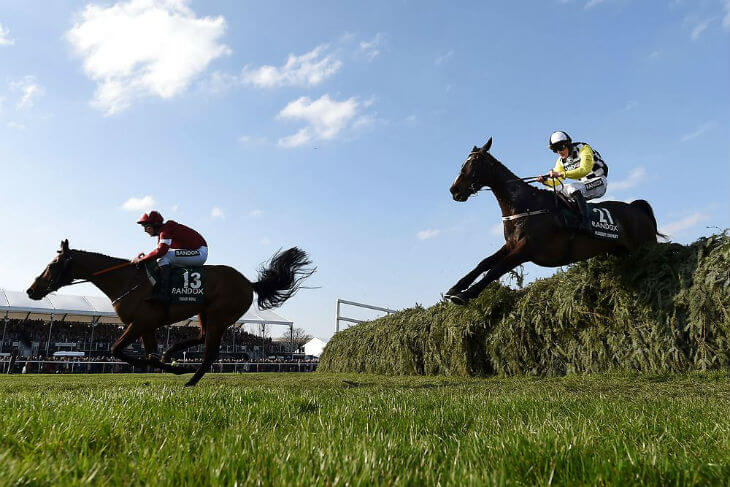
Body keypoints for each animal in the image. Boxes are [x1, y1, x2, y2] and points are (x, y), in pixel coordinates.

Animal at [27, 242, 312, 386]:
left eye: (53, 264)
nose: (31, 290)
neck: (127, 280)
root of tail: (249, 283)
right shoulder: (147, 326)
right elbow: (149, 354)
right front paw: (169, 364)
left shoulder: (141, 322)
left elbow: (117, 350)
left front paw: (174, 368)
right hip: (206, 313)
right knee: (201, 339)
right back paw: (174, 353)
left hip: (220, 316)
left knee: (210, 352)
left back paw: (191, 380)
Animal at [444, 137, 660, 304]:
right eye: (463, 164)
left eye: (473, 164)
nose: (454, 190)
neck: (525, 205)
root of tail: (636, 208)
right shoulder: (511, 244)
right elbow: (484, 263)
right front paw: (455, 289)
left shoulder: (526, 248)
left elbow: (497, 269)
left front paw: (466, 295)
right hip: (620, 252)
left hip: (643, 245)